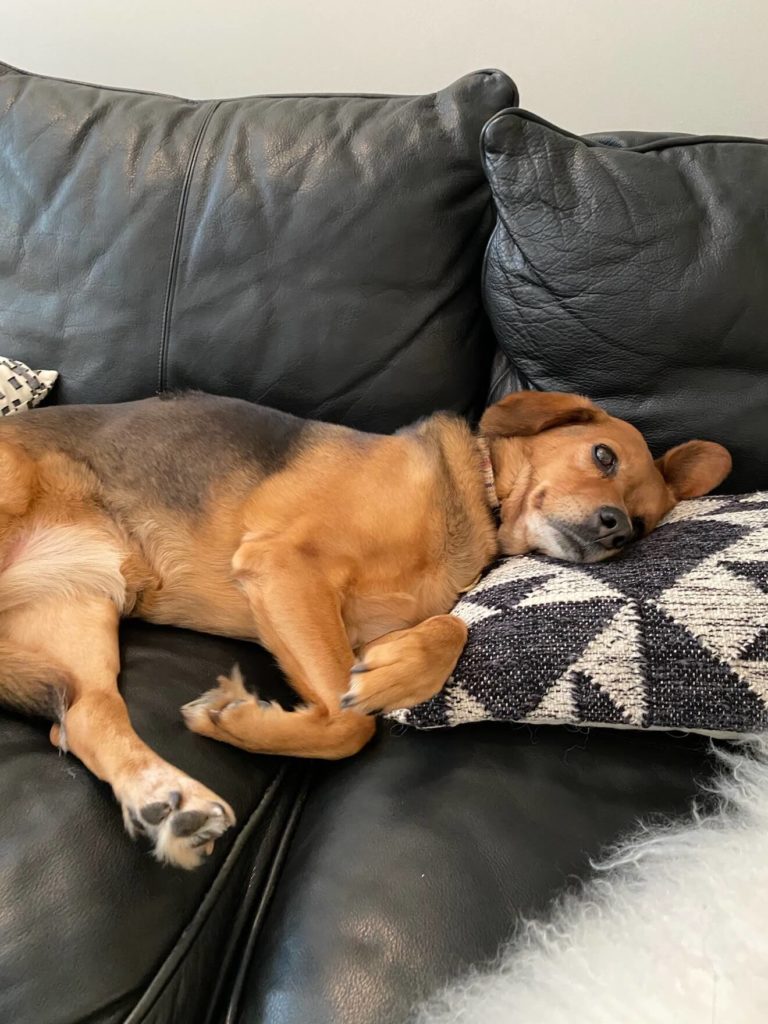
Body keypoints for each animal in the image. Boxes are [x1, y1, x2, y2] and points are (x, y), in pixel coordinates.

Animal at [0, 389, 733, 864]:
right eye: (603, 455)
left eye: (645, 522)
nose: (617, 529)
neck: (478, 501)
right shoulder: (284, 567)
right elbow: (348, 722)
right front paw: (251, 720)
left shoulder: (354, 623)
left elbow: (443, 636)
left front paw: (383, 677)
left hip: (80, 614)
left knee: (84, 718)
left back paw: (170, 802)